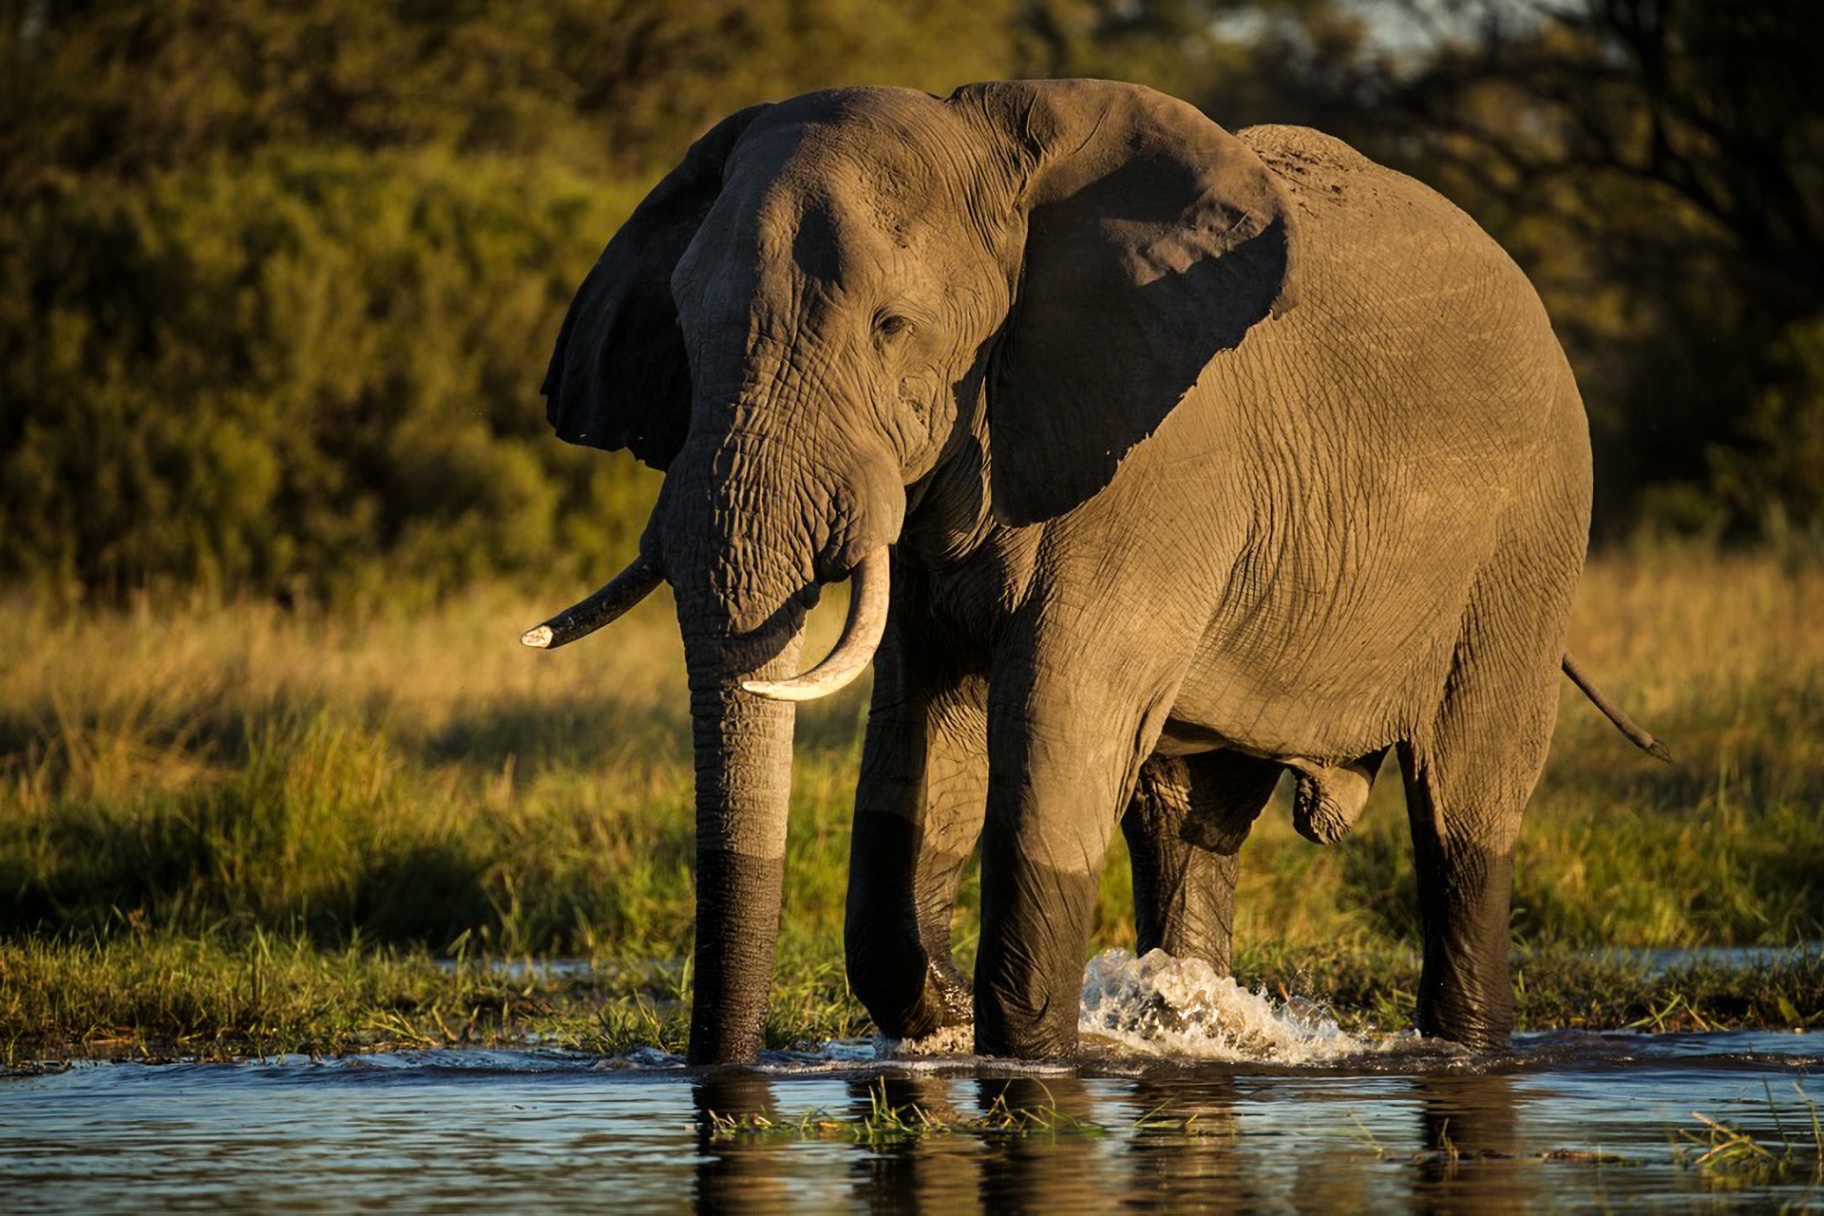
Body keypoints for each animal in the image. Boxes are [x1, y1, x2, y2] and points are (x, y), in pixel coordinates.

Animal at [522, 79, 1667, 1065]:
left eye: (893, 328)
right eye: (682, 328)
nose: (721, 1070)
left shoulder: (1155, 465)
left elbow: (1053, 732)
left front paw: (1024, 1050)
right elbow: (921, 728)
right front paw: (946, 1011)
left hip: (1530, 539)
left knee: (1463, 814)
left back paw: (1464, 1043)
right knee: (1187, 821)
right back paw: (1185, 1025)